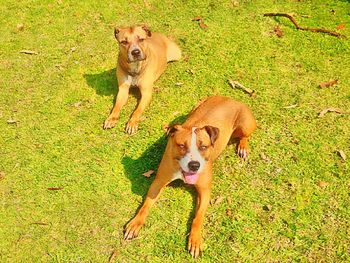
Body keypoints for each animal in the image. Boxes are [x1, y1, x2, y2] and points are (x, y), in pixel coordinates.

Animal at [124, 96, 256, 258]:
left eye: (204, 147)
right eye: (181, 145)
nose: (194, 165)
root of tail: (231, 99)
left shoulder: (204, 191)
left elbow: (198, 217)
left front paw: (195, 240)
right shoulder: (158, 182)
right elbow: (146, 205)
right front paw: (135, 223)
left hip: (246, 124)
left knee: (245, 136)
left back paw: (243, 147)